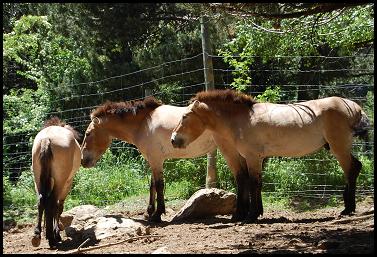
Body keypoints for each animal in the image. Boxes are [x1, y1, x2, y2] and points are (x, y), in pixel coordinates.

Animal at [31, 117, 81, 247]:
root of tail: (46, 139)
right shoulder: (67, 183)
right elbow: (59, 207)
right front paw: (56, 233)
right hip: (61, 182)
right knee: (52, 203)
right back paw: (52, 238)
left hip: (37, 180)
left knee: (41, 201)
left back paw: (37, 236)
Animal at [79, 97, 216, 221]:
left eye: (88, 134)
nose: (82, 160)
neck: (143, 124)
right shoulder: (152, 160)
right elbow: (152, 185)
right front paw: (149, 212)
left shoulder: (156, 160)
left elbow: (159, 185)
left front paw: (157, 214)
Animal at [171, 89, 370, 221]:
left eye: (185, 116)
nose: (173, 139)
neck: (242, 119)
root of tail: (355, 107)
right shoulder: (250, 158)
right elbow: (251, 182)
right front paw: (248, 213)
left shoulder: (252, 157)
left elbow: (253, 183)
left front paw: (251, 215)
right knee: (355, 167)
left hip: (339, 148)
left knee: (351, 170)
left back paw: (348, 209)